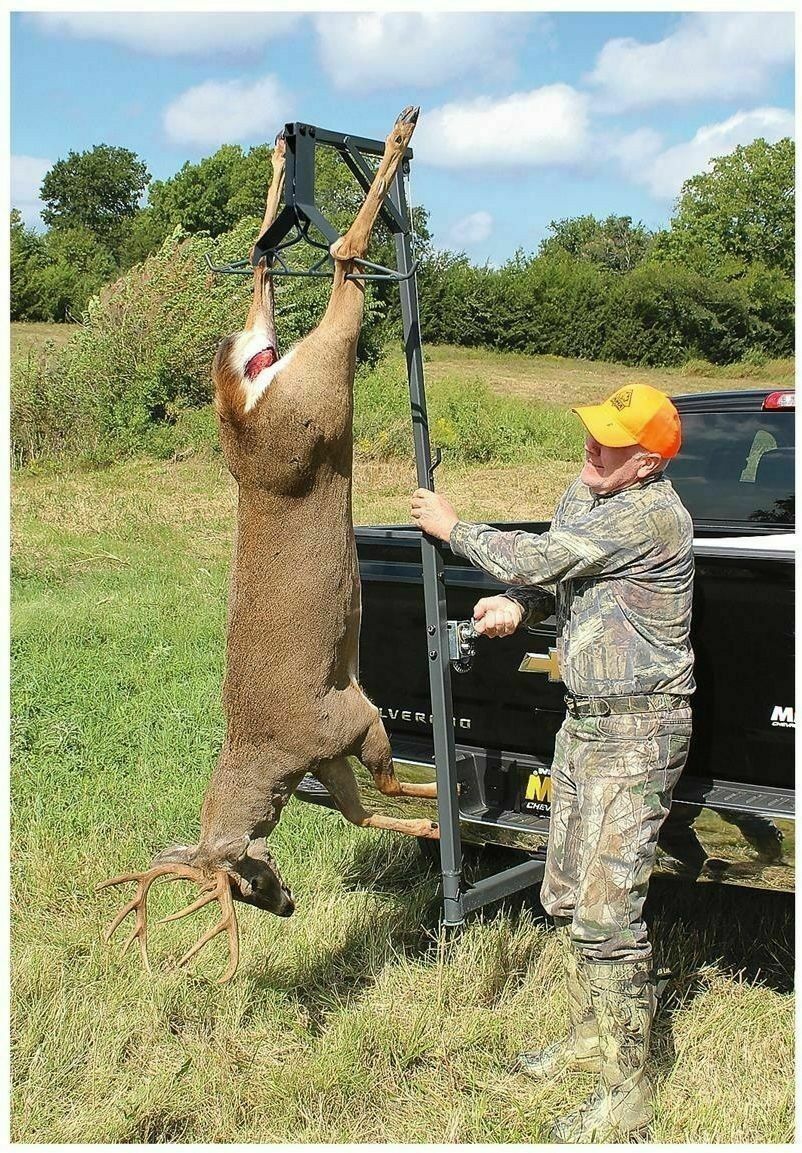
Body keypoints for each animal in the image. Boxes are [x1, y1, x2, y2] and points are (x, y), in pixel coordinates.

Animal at [97, 107, 439, 983]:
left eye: (242, 878)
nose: (285, 905)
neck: (273, 757)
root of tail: (240, 407)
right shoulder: (334, 745)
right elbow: (365, 811)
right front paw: (433, 823)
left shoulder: (348, 715)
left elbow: (387, 783)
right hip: (300, 387)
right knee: (263, 265)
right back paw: (301, 148)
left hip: (317, 392)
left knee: (337, 263)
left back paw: (391, 137)